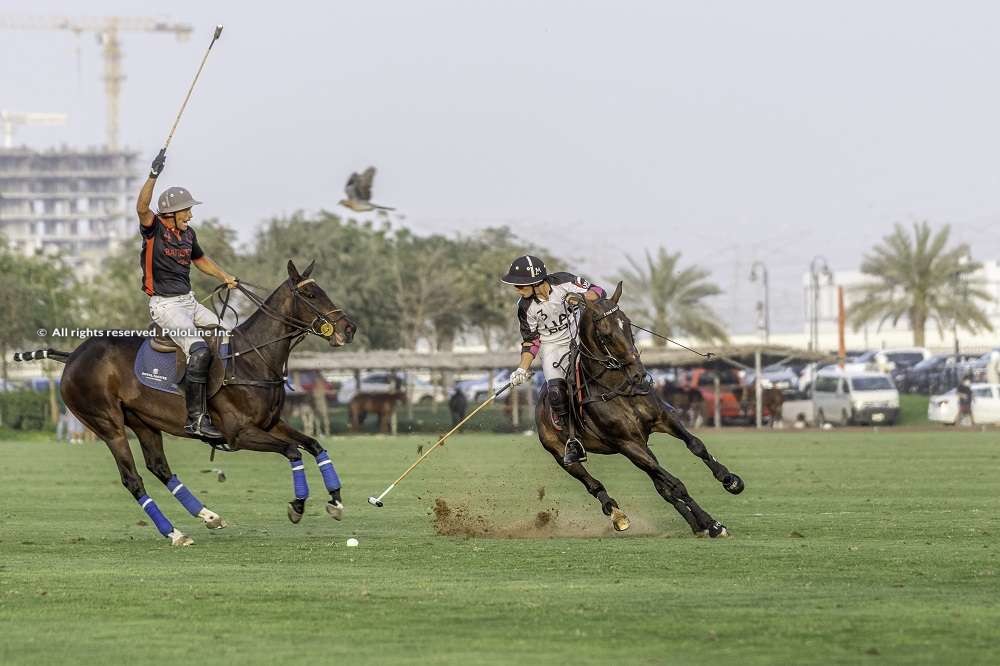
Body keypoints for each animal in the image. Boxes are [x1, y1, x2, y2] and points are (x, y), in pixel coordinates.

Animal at [15, 256, 356, 544]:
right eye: (310, 295)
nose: (349, 329)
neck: (251, 359)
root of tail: (72, 356)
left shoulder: (271, 423)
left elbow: (314, 445)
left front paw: (336, 502)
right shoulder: (239, 434)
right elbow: (292, 451)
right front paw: (297, 506)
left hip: (144, 422)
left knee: (160, 468)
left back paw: (209, 517)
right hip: (107, 424)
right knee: (132, 478)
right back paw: (174, 533)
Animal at [540, 282, 744, 536]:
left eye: (628, 326)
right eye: (606, 335)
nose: (639, 374)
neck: (618, 387)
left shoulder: (663, 419)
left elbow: (695, 445)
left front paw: (730, 480)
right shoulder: (628, 444)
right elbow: (676, 484)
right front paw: (713, 524)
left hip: (642, 447)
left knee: (661, 486)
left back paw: (695, 523)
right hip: (562, 454)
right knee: (594, 484)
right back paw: (619, 516)